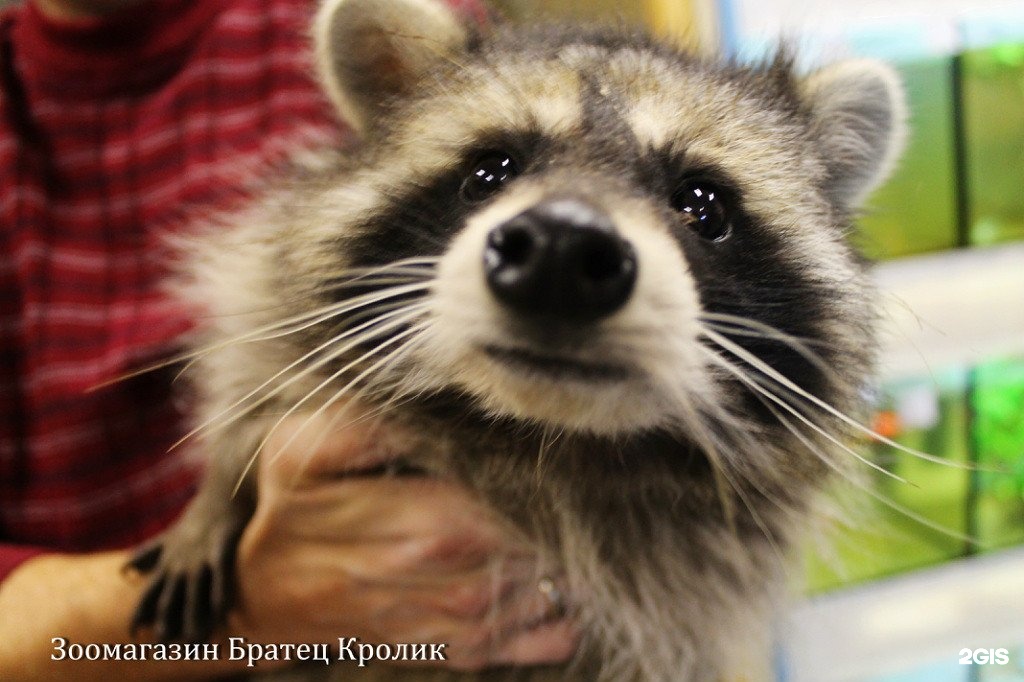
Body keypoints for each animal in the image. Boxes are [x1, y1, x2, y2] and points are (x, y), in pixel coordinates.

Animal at [125, 1, 905, 679]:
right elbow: (248, 365)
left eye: (702, 205)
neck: (540, 439)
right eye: (489, 170)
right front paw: (220, 493)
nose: (562, 251)